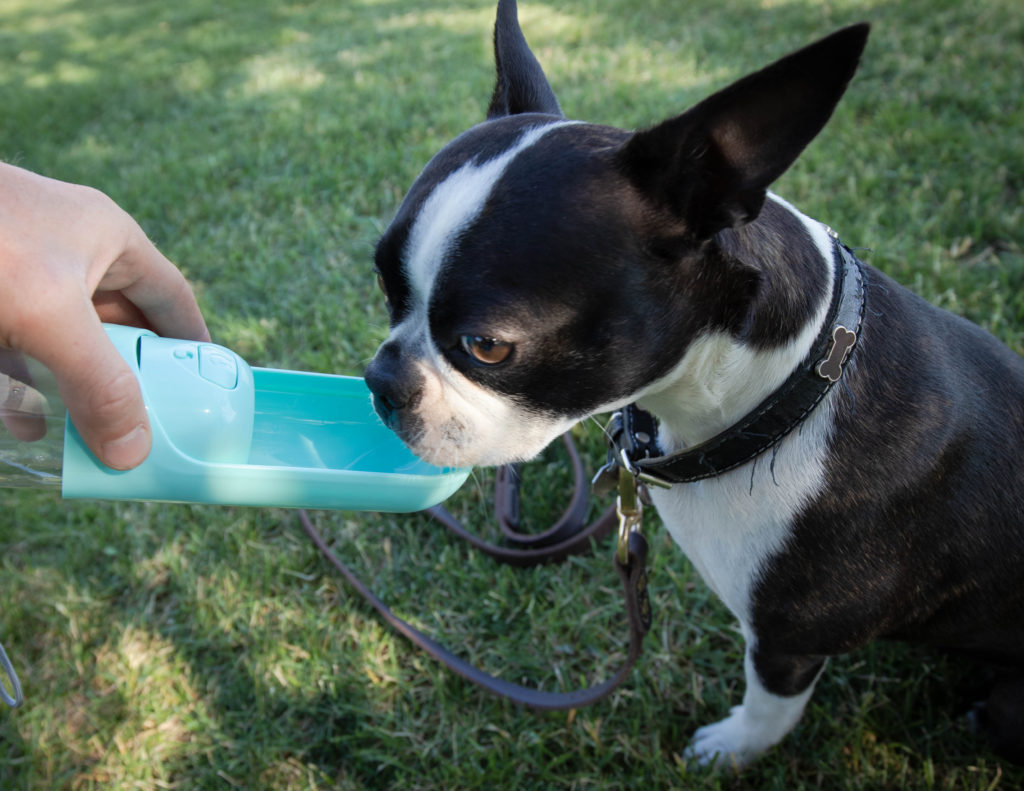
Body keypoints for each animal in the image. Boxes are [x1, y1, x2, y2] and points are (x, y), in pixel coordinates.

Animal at [364, 0, 1019, 766]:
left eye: (487, 347)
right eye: (384, 287)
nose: (380, 380)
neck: (778, 393)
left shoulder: (787, 639)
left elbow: (770, 705)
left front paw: (731, 748)